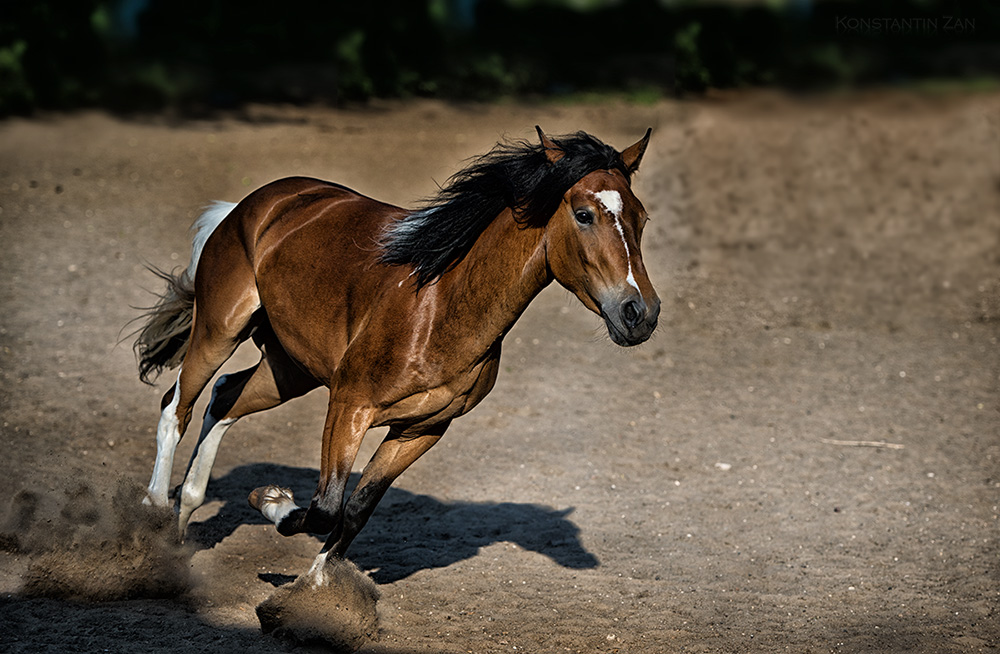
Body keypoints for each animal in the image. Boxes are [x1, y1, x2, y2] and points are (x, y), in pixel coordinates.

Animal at [135, 127, 664, 568]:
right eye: (583, 214)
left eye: (641, 218)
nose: (640, 313)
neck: (441, 306)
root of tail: (249, 205)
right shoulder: (349, 405)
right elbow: (325, 508)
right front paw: (270, 500)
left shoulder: (422, 429)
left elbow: (355, 511)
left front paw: (318, 599)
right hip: (220, 329)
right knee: (176, 407)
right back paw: (154, 512)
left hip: (290, 369)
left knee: (225, 397)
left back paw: (184, 519)